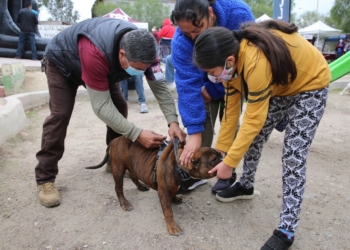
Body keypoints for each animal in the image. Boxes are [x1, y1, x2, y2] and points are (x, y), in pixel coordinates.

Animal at [85, 136, 221, 235]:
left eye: (218, 154)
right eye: (213, 159)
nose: (222, 155)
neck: (178, 166)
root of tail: (114, 140)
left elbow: (173, 193)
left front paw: (175, 198)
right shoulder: (163, 193)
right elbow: (168, 211)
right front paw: (172, 226)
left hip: (132, 165)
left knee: (133, 176)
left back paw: (141, 186)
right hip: (118, 169)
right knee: (118, 188)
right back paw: (124, 203)